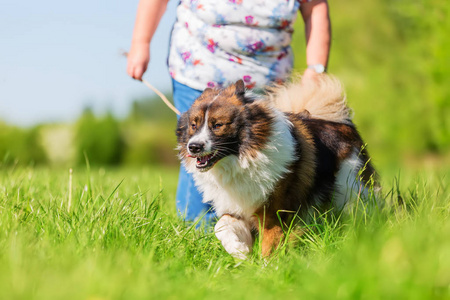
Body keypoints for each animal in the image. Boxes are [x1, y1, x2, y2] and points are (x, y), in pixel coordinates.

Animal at [175, 74, 376, 258]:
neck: (243, 159)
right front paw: (238, 249)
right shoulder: (237, 205)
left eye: (217, 125)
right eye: (194, 125)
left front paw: (268, 270)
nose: (193, 147)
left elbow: (269, 247)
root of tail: (340, 123)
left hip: (351, 190)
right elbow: (221, 225)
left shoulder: (272, 214)